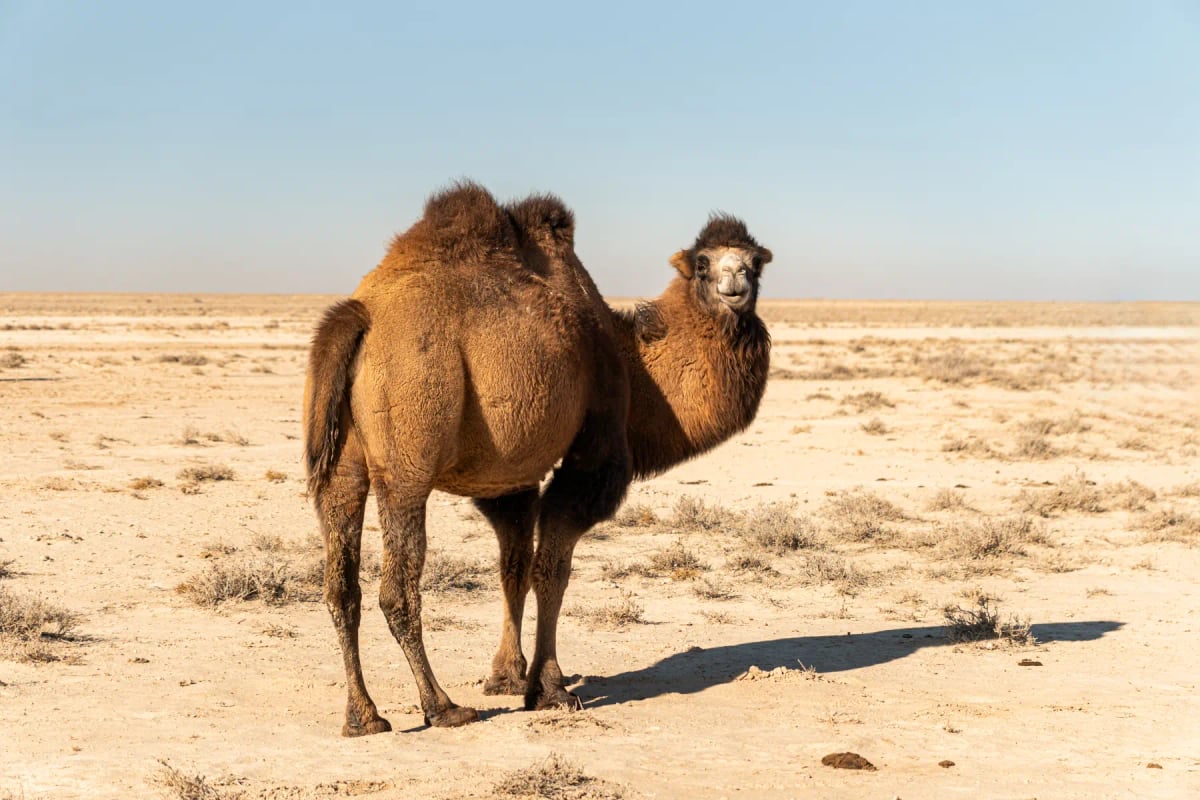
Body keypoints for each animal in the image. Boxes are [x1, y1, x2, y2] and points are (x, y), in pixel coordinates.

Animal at [304, 182, 772, 735]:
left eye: (755, 263)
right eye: (703, 263)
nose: (734, 285)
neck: (632, 362)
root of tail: (358, 318)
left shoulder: (511, 476)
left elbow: (514, 566)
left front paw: (506, 676)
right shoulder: (595, 451)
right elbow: (553, 568)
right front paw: (548, 687)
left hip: (341, 464)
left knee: (340, 584)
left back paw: (363, 716)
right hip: (410, 444)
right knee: (396, 585)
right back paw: (442, 707)